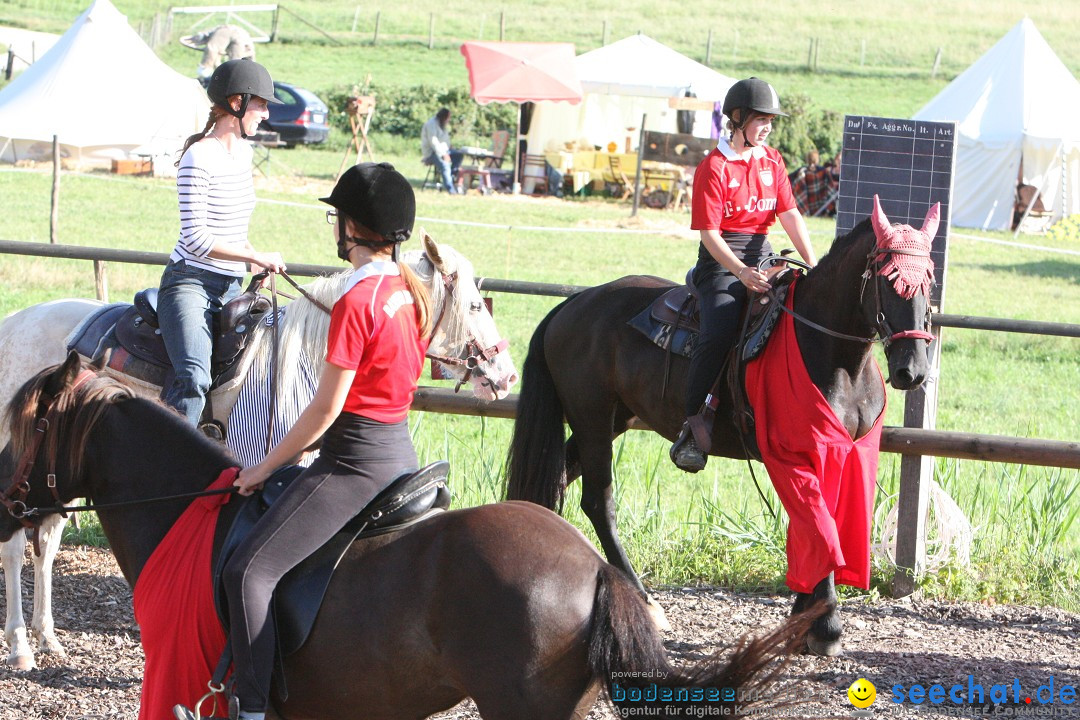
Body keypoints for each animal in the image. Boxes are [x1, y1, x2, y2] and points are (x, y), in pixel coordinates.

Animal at [505, 198, 937, 660]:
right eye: (890, 279)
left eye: (928, 278)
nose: (912, 370)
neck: (827, 349)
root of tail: (572, 305)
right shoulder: (798, 453)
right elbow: (819, 526)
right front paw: (826, 625)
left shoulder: (844, 451)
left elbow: (822, 526)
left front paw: (805, 616)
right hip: (593, 420)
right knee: (598, 502)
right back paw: (644, 601)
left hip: (609, 421)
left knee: (560, 482)